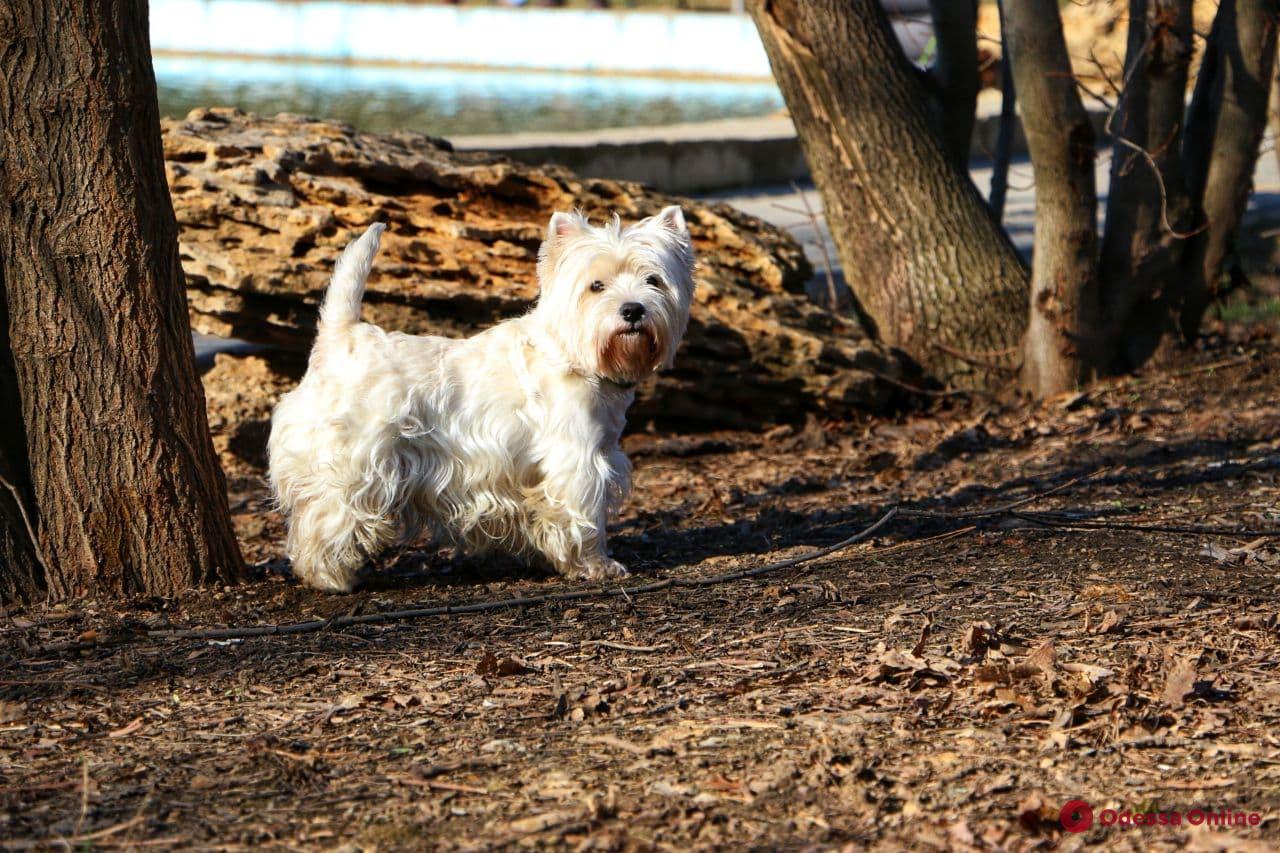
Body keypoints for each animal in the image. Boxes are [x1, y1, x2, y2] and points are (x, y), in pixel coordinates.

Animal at [263, 206, 696, 591]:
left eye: (654, 280)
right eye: (596, 286)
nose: (633, 310)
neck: (574, 356)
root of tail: (340, 338)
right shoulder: (577, 460)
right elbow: (583, 513)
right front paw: (596, 565)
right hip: (356, 462)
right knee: (328, 515)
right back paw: (331, 578)